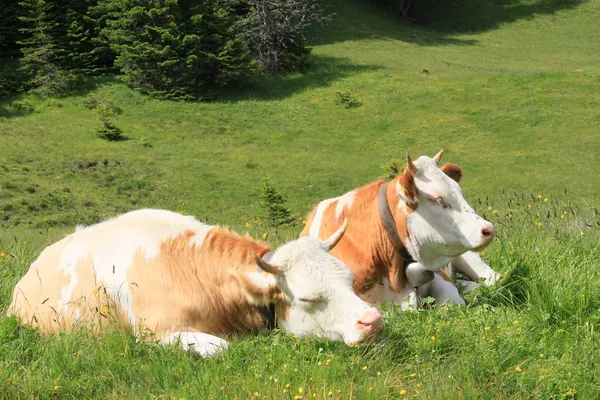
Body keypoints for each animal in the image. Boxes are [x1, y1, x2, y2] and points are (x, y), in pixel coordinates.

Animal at [302, 150, 500, 310]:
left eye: (459, 190)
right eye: (438, 199)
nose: (488, 229)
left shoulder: (439, 274)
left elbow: (452, 302)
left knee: (492, 278)